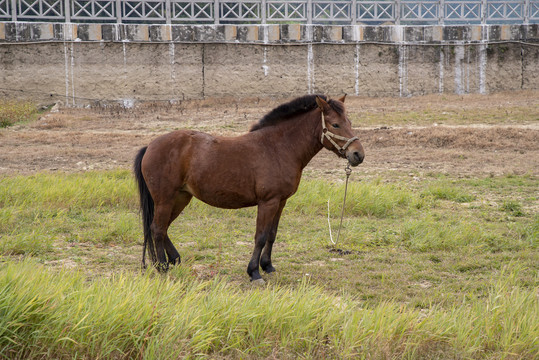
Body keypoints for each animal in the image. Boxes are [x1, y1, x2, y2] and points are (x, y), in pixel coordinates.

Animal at [133, 93, 364, 282]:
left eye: (349, 121)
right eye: (335, 125)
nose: (358, 154)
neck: (279, 147)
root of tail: (150, 146)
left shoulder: (281, 202)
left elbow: (272, 234)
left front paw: (267, 266)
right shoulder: (268, 202)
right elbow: (260, 236)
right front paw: (254, 272)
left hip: (181, 198)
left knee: (162, 228)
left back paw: (174, 259)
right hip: (165, 199)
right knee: (158, 229)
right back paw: (162, 266)